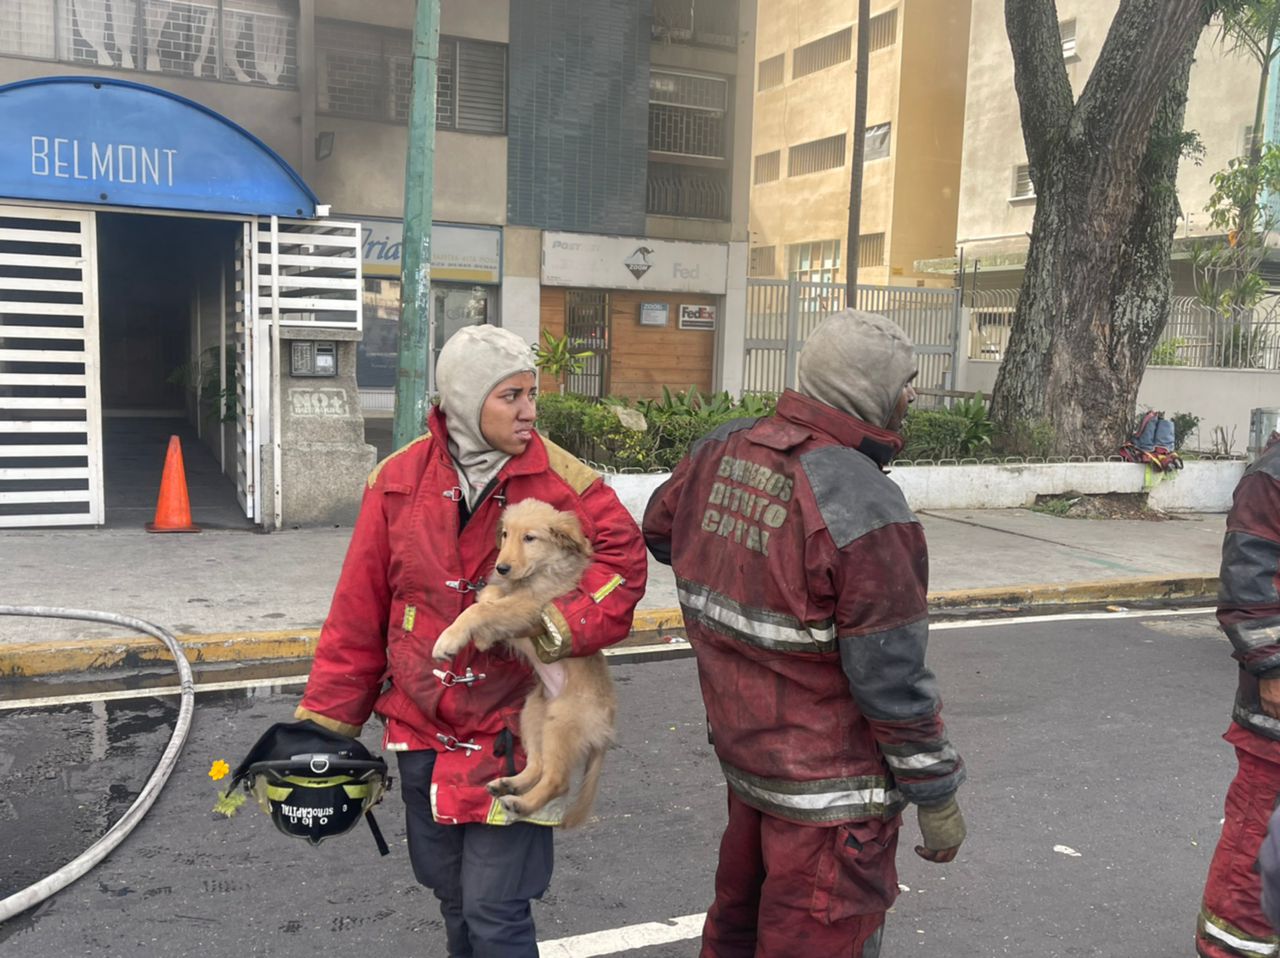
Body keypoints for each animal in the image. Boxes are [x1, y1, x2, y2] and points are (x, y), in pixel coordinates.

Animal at [432, 496, 616, 824]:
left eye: (530, 538)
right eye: (505, 534)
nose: (502, 567)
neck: (538, 572)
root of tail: (606, 726)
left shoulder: (530, 608)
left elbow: (479, 611)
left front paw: (449, 640)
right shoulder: (511, 596)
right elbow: (489, 596)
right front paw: (483, 633)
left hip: (560, 725)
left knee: (557, 780)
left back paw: (521, 803)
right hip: (532, 713)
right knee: (537, 766)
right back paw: (510, 784)